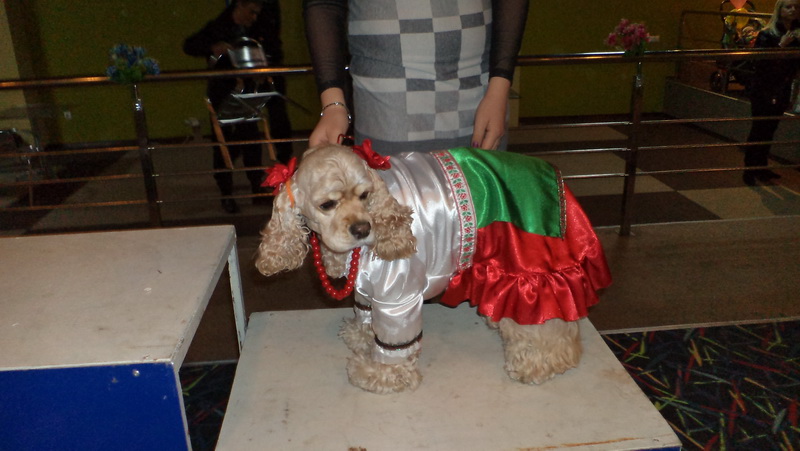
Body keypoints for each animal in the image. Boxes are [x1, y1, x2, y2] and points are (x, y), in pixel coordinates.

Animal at [256, 143, 611, 394]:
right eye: (327, 204)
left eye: (365, 195)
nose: (362, 229)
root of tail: (559, 178)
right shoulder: (368, 290)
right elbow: (365, 314)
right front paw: (361, 335)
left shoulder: (397, 298)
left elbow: (395, 343)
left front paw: (380, 373)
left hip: (534, 271)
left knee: (549, 328)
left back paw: (538, 363)